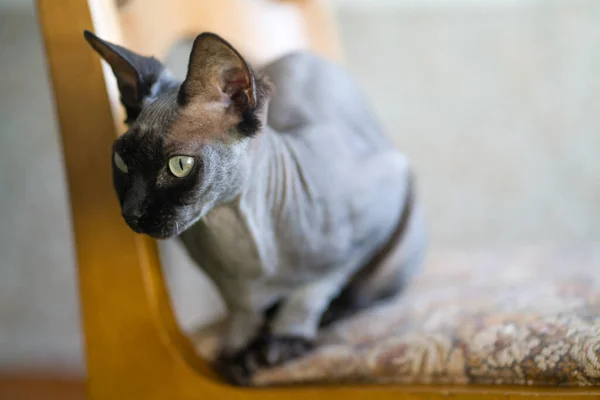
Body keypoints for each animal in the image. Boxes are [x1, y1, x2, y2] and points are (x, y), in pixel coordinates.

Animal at [84, 29, 428, 386]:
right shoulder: (229, 288)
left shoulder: (371, 220)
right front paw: (238, 352)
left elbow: (312, 290)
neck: (233, 233)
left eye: (179, 165)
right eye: (121, 162)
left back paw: (327, 317)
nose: (132, 213)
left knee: (362, 294)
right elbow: (241, 310)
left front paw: (282, 341)